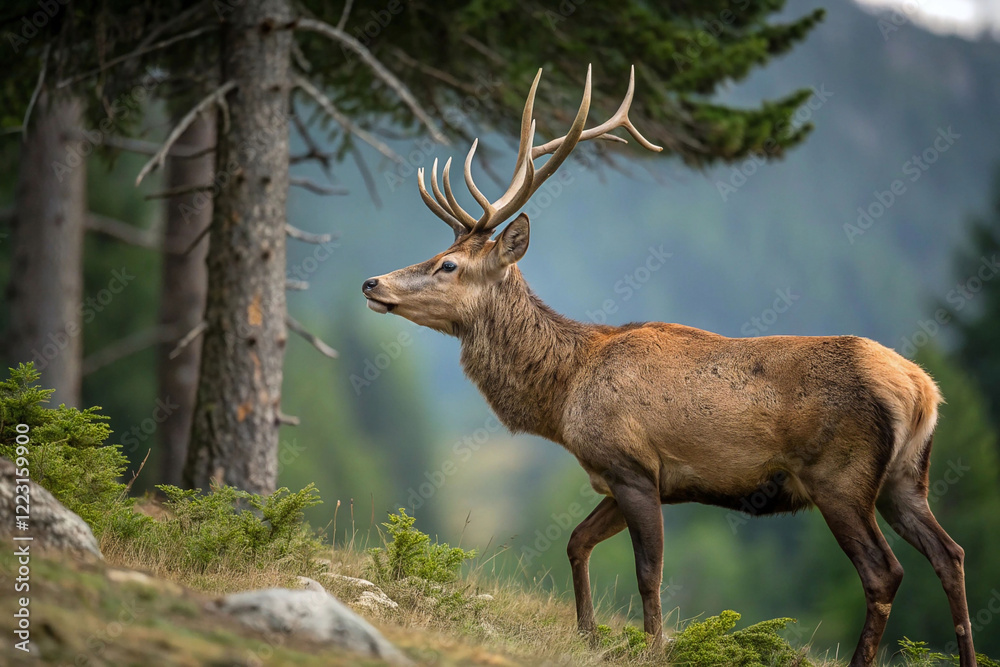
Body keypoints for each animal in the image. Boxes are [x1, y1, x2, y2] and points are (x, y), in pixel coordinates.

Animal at [361, 65, 977, 667]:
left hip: (840, 476)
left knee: (884, 571)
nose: (371, 282)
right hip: (905, 478)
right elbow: (577, 542)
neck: (563, 396)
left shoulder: (633, 466)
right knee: (950, 553)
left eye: (448, 264)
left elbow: (648, 573)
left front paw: (652, 648)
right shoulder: (624, 479)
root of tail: (922, 390)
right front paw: (588, 637)